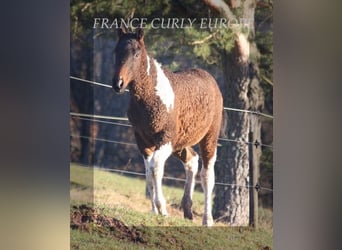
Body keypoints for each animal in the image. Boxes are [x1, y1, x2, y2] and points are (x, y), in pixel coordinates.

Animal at [112, 27, 223, 227]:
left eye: (136, 53)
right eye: (116, 51)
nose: (118, 84)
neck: (150, 96)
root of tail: (210, 79)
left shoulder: (165, 139)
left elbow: (156, 167)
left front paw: (162, 209)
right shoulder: (143, 141)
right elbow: (149, 173)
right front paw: (154, 211)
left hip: (209, 138)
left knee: (207, 175)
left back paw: (207, 220)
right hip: (180, 142)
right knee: (192, 161)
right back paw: (188, 211)